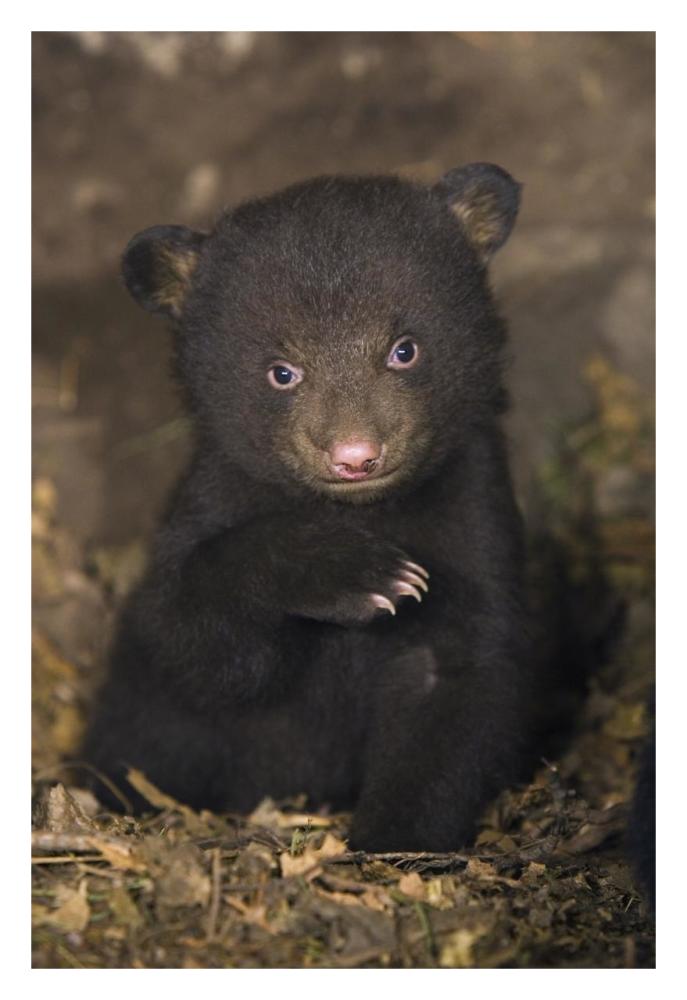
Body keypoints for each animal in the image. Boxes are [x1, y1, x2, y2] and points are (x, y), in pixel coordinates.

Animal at [82, 163, 532, 852]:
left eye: (404, 349)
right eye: (281, 372)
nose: (355, 455)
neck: (363, 508)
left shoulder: (472, 511)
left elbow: (454, 681)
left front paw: (392, 839)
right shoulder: (215, 498)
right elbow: (196, 645)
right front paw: (361, 575)